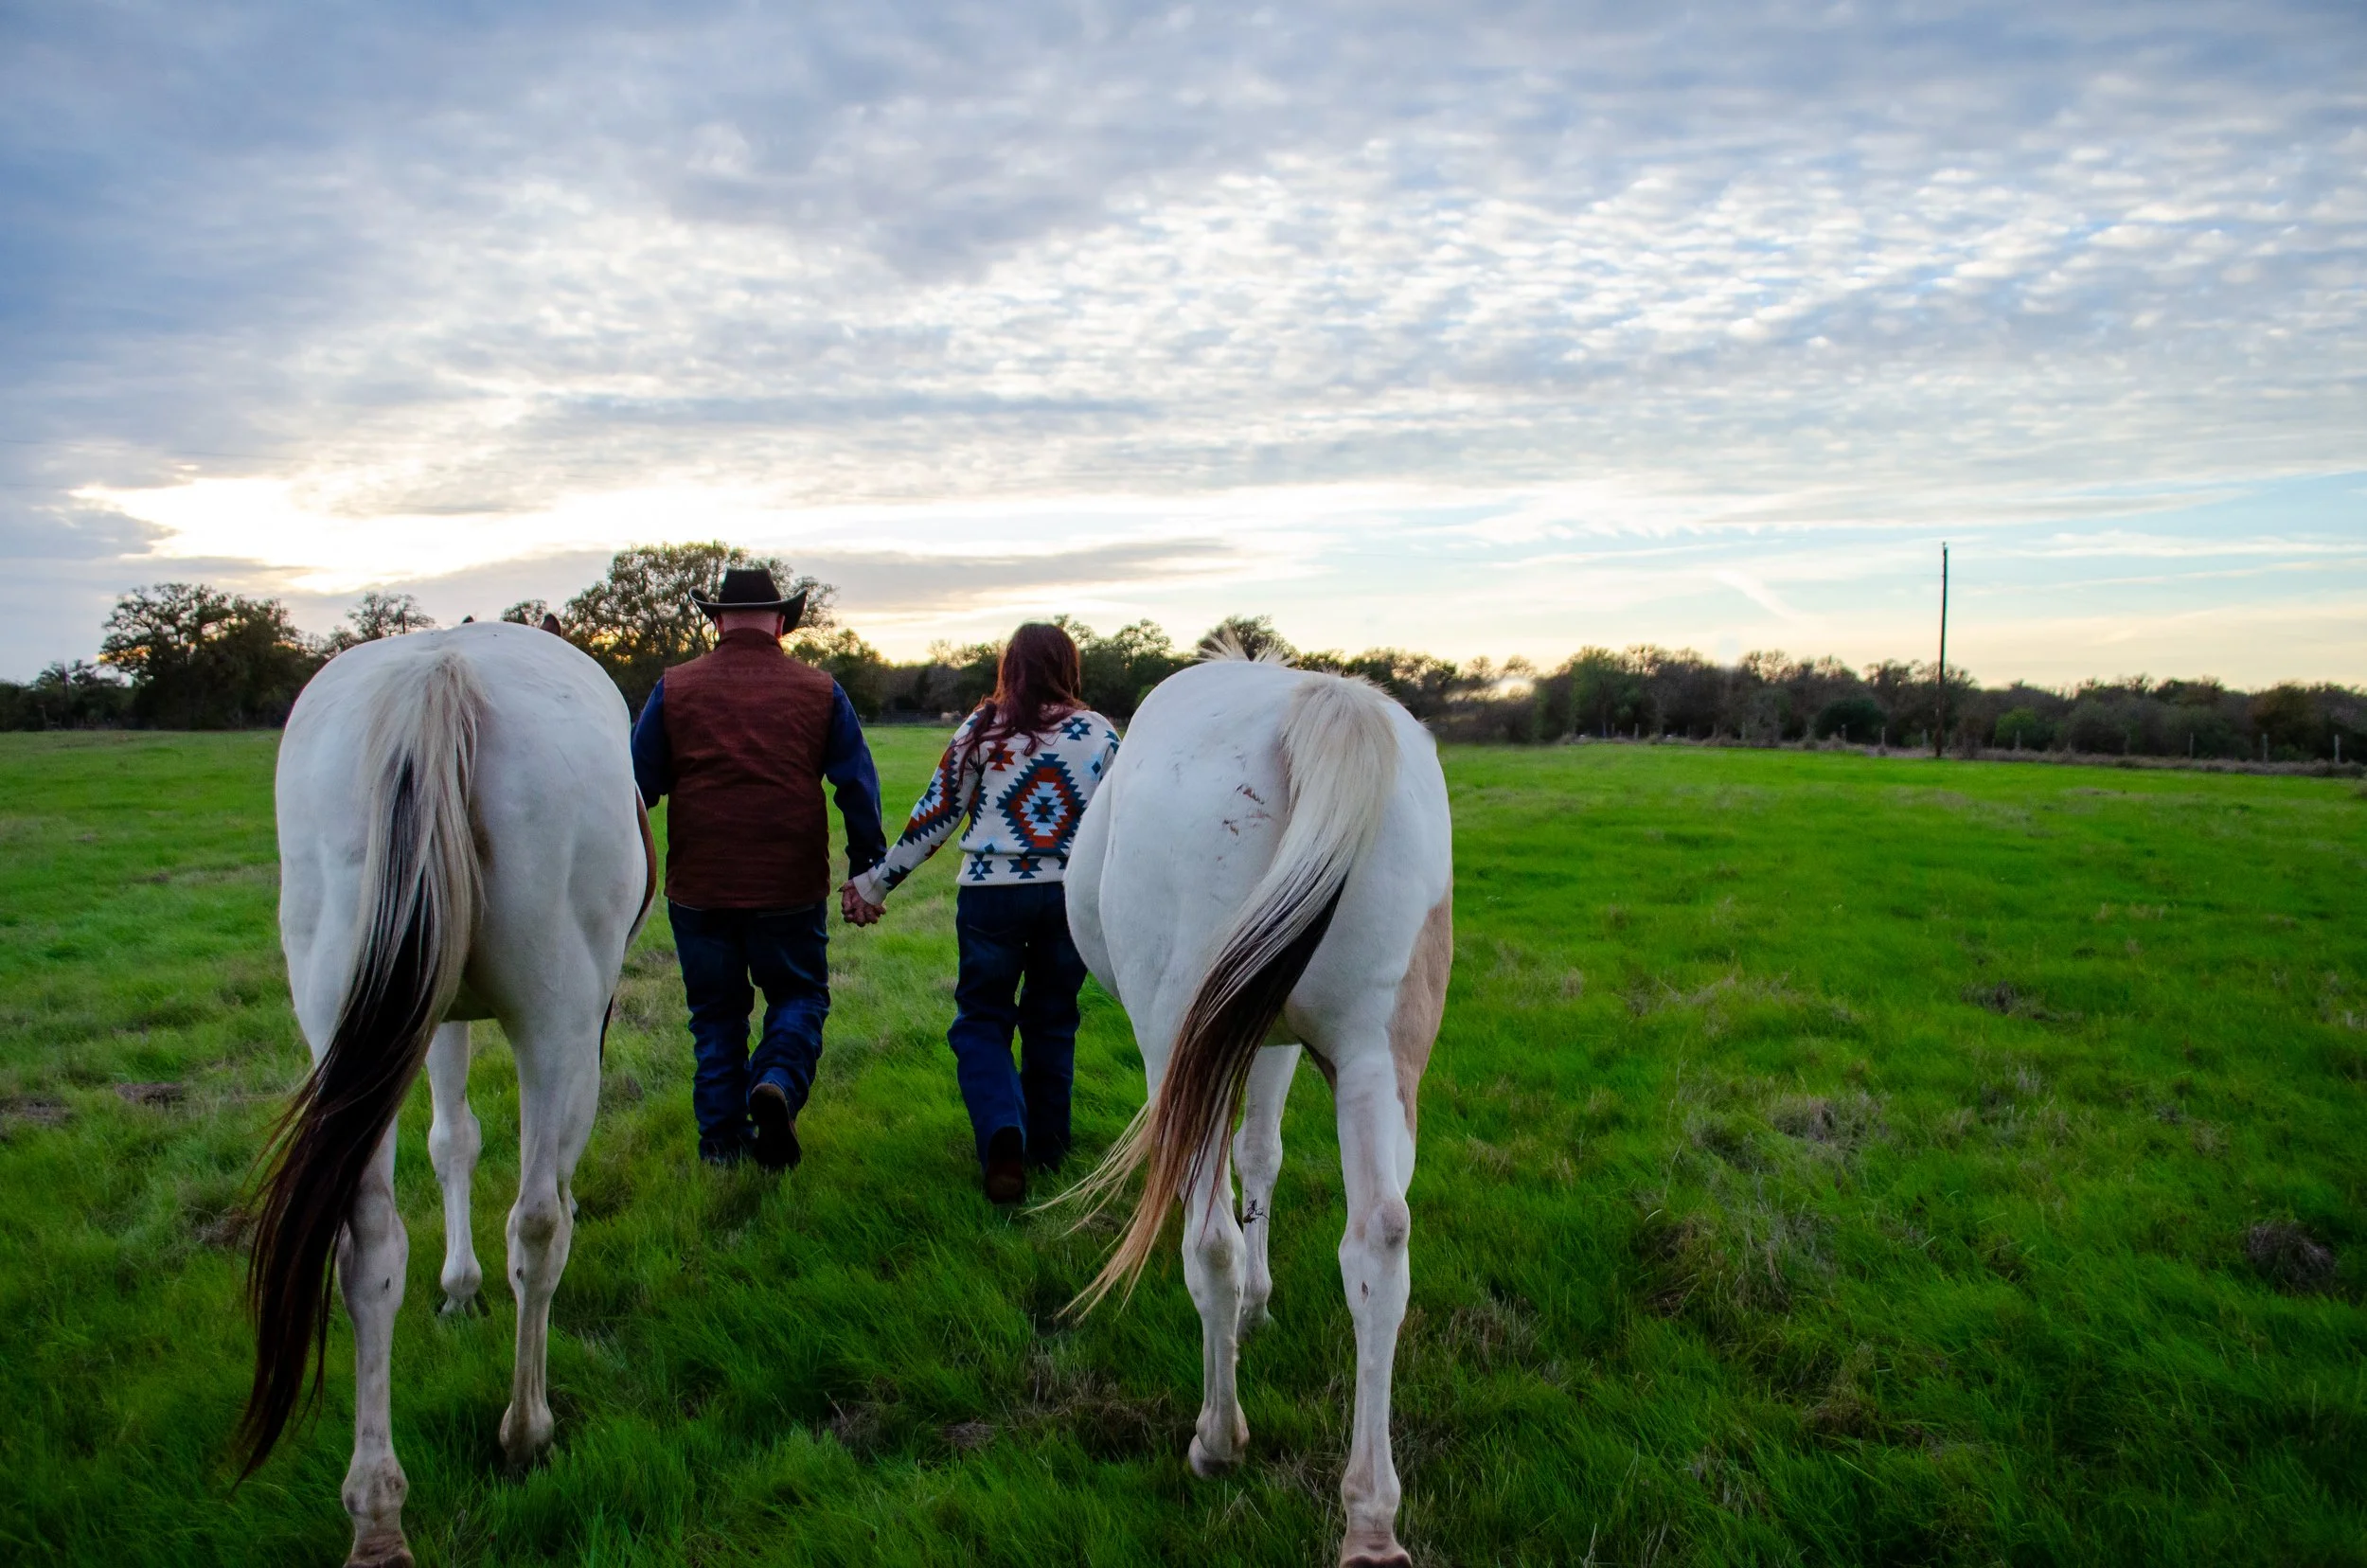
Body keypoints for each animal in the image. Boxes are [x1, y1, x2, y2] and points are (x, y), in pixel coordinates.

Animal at [241, 620, 652, 1567]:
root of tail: (441, 675)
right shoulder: (563, 1024)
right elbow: (522, 1168)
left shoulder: (429, 1016)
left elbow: (450, 1141)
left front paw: (457, 1289)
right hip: (555, 1018)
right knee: (534, 1223)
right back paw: (525, 1430)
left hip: (341, 1015)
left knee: (366, 1250)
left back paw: (376, 1513)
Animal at [1063, 643, 1454, 1568]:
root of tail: (1320, 703)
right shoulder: (1267, 1035)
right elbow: (1264, 1157)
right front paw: (1263, 1306)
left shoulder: (1217, 1046)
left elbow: (1233, 1200)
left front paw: (1245, 1317)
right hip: (1378, 1055)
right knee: (1380, 1242)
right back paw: (1371, 1519)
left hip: (1181, 1043)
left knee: (1208, 1239)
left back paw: (1216, 1439)